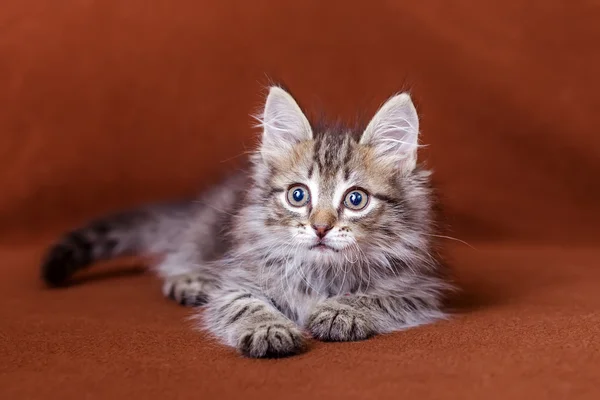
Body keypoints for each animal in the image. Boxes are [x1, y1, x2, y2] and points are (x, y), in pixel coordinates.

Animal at [41, 86, 450, 356]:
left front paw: (341, 310)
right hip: (208, 228)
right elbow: (243, 302)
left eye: (356, 199)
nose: (320, 227)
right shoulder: (239, 279)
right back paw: (192, 278)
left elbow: (378, 298)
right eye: (298, 195)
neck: (321, 271)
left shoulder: (418, 289)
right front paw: (269, 328)